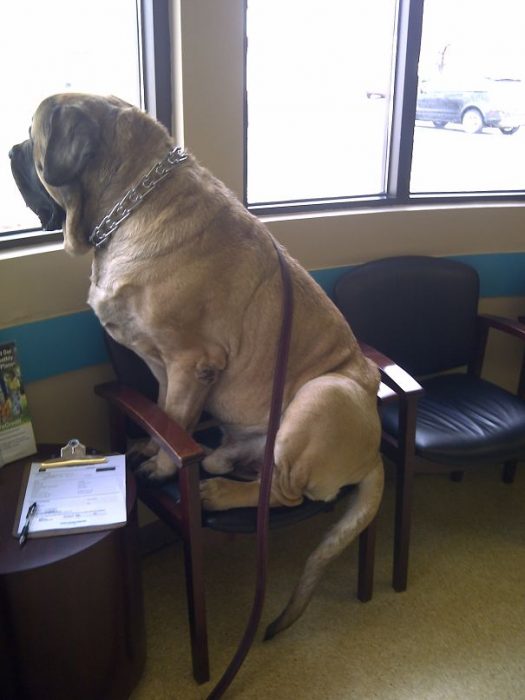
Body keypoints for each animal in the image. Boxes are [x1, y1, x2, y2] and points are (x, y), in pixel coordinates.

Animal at [10, 94, 382, 640]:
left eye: (30, 133)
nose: (12, 150)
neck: (133, 200)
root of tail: (374, 452)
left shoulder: (192, 362)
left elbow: (176, 421)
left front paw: (164, 467)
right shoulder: (165, 368)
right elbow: (165, 415)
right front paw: (151, 446)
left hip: (322, 395)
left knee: (284, 496)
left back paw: (218, 493)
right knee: (246, 464)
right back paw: (225, 462)